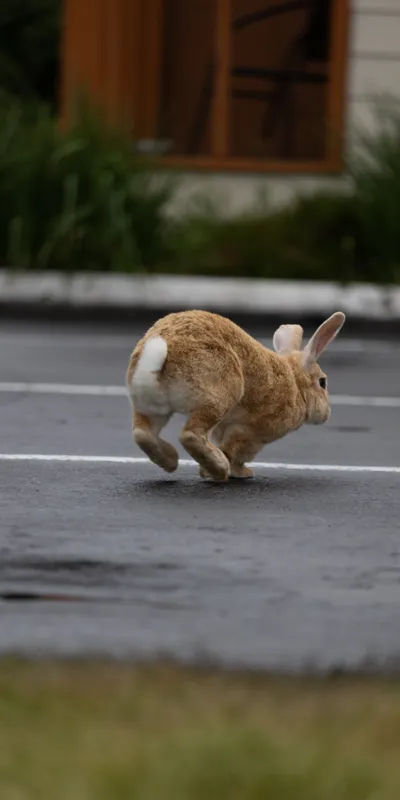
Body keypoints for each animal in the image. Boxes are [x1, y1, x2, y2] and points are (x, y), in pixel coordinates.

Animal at [126, 309, 345, 481]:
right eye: (322, 382)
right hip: (219, 396)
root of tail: (159, 354)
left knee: (143, 433)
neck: (296, 383)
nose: (326, 414)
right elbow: (236, 452)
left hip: (151, 405)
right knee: (191, 435)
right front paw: (242, 473)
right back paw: (219, 468)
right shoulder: (252, 432)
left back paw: (171, 461)